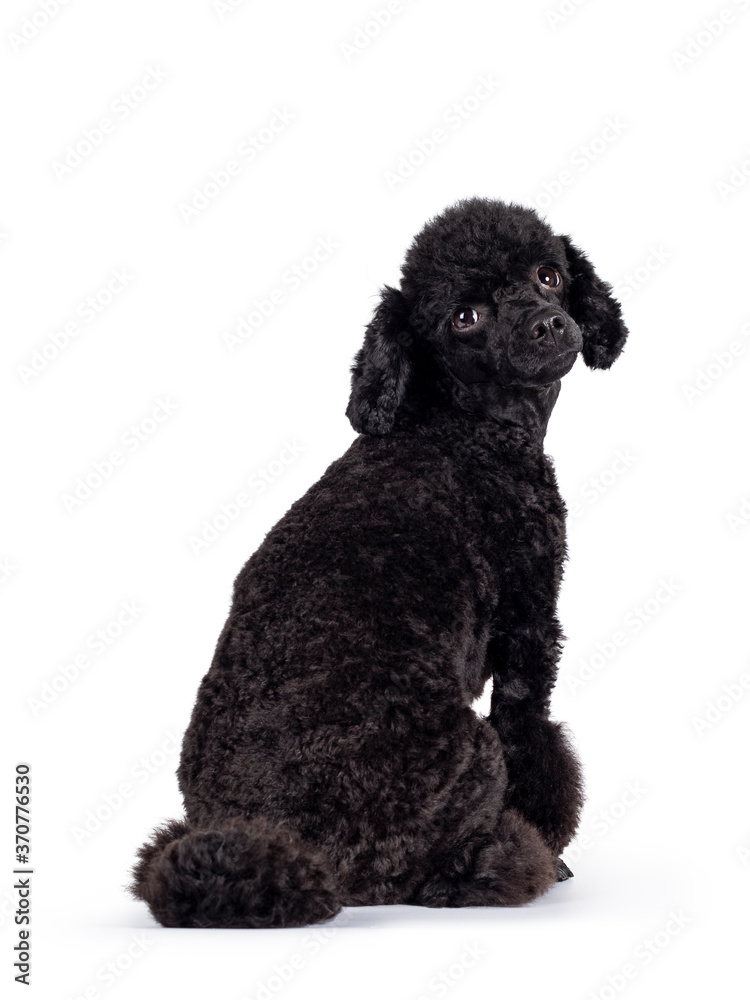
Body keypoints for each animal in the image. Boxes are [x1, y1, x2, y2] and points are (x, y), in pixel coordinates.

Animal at [131, 197, 628, 928]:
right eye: (464, 317)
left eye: (548, 274)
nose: (548, 324)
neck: (460, 423)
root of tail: (286, 851)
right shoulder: (530, 624)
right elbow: (532, 737)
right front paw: (554, 848)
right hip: (467, 758)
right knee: (437, 876)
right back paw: (502, 864)